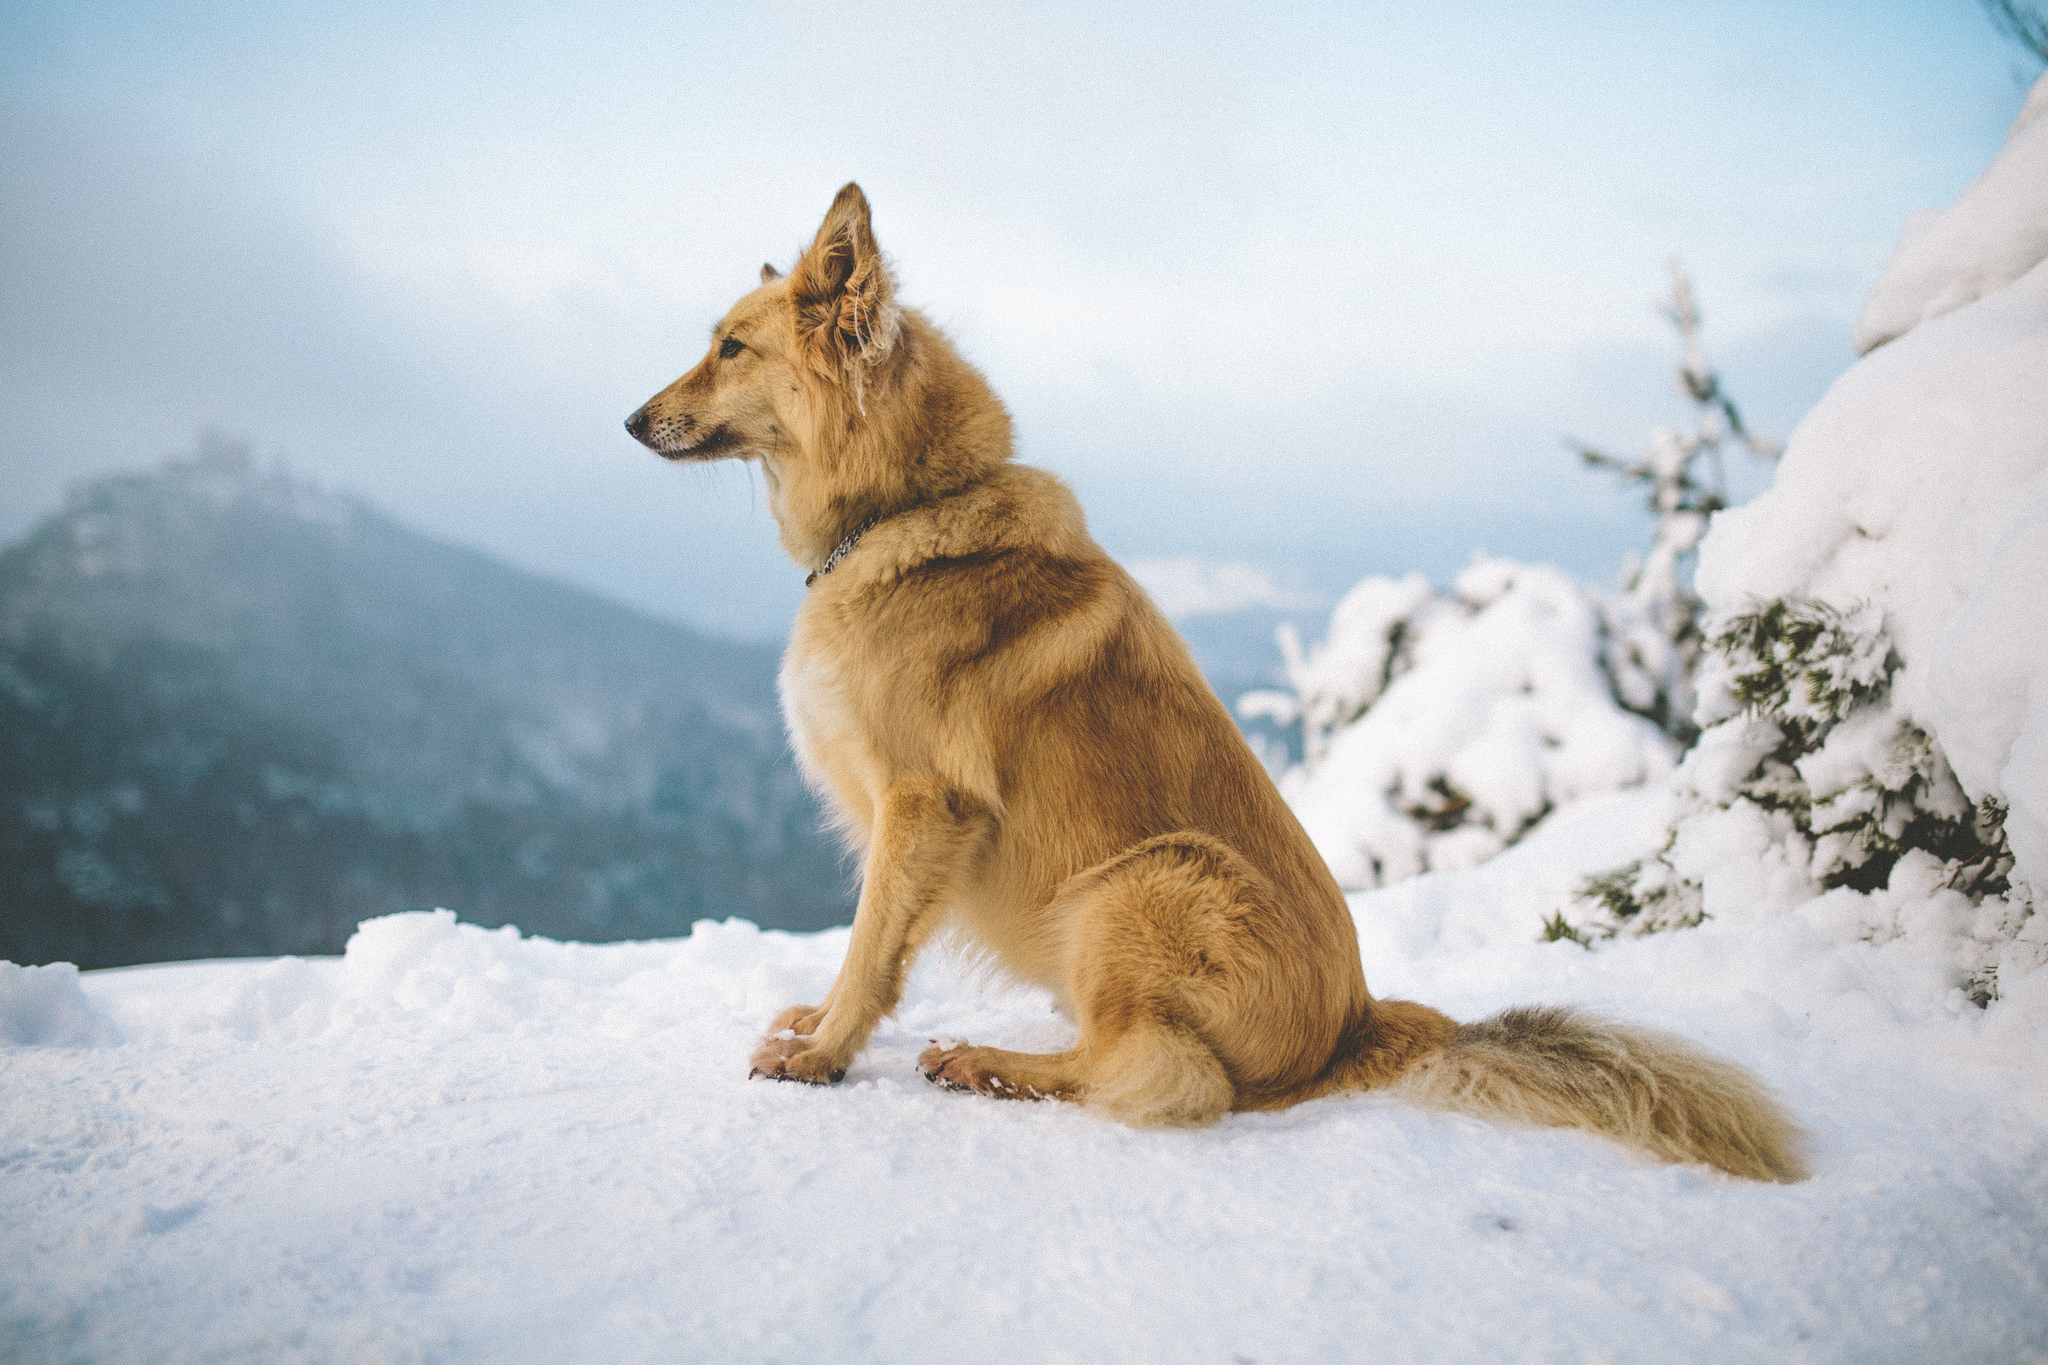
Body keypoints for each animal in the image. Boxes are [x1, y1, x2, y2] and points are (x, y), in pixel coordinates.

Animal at [622, 184, 1810, 1186]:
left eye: (730, 348)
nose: (628, 422)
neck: (913, 509)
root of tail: (1360, 1018)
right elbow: (860, 949)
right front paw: (816, 1027)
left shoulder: (924, 806)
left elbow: (872, 950)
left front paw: (825, 1055)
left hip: (1147, 878)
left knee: (1161, 1074)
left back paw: (990, 1063)